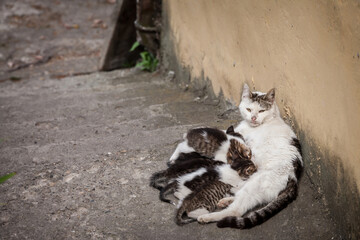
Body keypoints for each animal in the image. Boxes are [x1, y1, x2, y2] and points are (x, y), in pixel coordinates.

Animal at [197, 84, 304, 229]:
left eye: (261, 111)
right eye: (249, 109)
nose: (253, 118)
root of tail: (294, 179)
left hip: (255, 184)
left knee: (236, 210)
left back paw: (208, 217)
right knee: (238, 191)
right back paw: (226, 200)